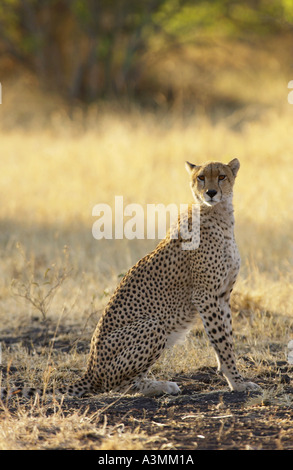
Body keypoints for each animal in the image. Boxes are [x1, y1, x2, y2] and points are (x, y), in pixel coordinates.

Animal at [1, 160, 258, 398]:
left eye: (222, 176)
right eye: (201, 177)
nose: (211, 193)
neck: (220, 215)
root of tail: (89, 370)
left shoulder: (222, 296)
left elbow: (227, 339)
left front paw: (234, 377)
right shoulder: (206, 296)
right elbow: (221, 341)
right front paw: (238, 383)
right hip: (152, 325)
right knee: (115, 386)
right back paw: (160, 386)